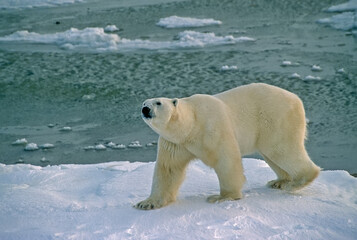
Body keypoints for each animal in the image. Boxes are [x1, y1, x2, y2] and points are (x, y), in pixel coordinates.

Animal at [136, 83, 320, 210]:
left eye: (158, 103)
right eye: (144, 102)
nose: (145, 109)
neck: (191, 125)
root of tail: (297, 99)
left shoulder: (212, 127)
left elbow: (226, 160)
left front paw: (222, 197)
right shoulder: (175, 143)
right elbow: (168, 170)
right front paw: (147, 203)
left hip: (275, 119)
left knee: (281, 149)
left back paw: (297, 182)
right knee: (272, 155)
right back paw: (280, 181)